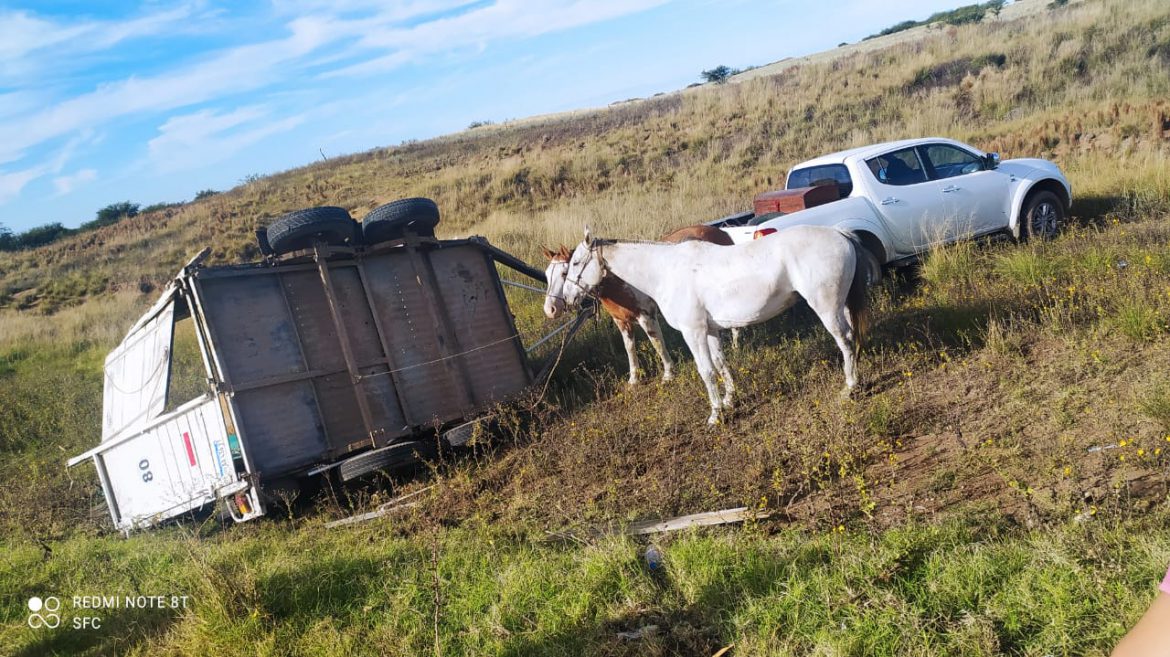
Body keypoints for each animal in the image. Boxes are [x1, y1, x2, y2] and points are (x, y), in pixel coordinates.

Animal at [542, 224, 735, 386]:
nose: (550, 310)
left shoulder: (646, 316)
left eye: (566, 271)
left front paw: (668, 374)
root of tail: (721, 231)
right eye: (546, 274)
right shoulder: (621, 321)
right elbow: (629, 348)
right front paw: (634, 379)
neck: (621, 280)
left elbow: (656, 343)